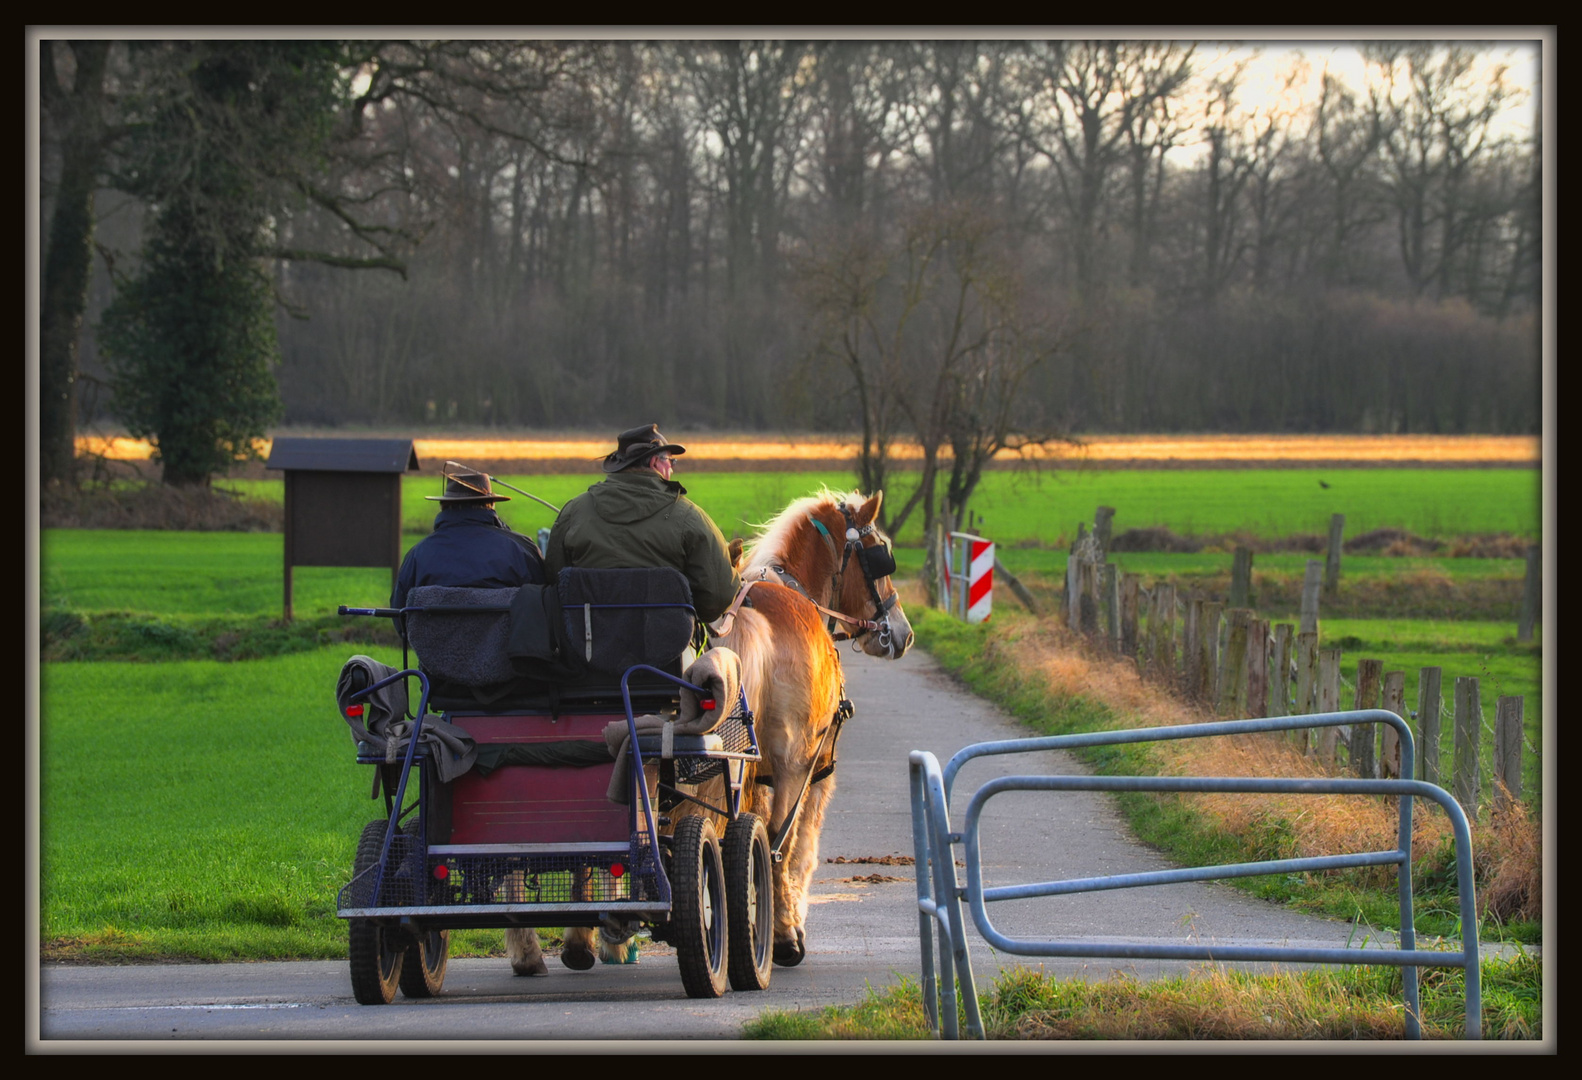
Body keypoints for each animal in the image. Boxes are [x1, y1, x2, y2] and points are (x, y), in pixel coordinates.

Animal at [708, 487, 917, 961]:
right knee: (776, 841)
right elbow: (802, 845)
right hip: (795, 764)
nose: (903, 634)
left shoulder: (758, 775)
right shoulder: (817, 769)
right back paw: (784, 936)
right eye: (881, 555)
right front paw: (791, 919)